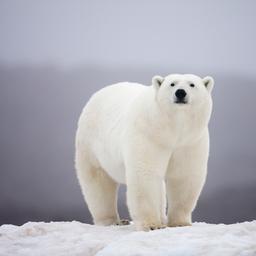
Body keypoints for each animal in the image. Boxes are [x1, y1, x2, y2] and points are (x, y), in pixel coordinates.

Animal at [74, 73, 214, 231]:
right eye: (172, 84)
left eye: (192, 84)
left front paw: (180, 223)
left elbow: (183, 176)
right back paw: (112, 221)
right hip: (91, 143)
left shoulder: (190, 141)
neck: (172, 130)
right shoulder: (148, 134)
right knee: (98, 181)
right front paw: (152, 225)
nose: (180, 93)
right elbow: (146, 173)